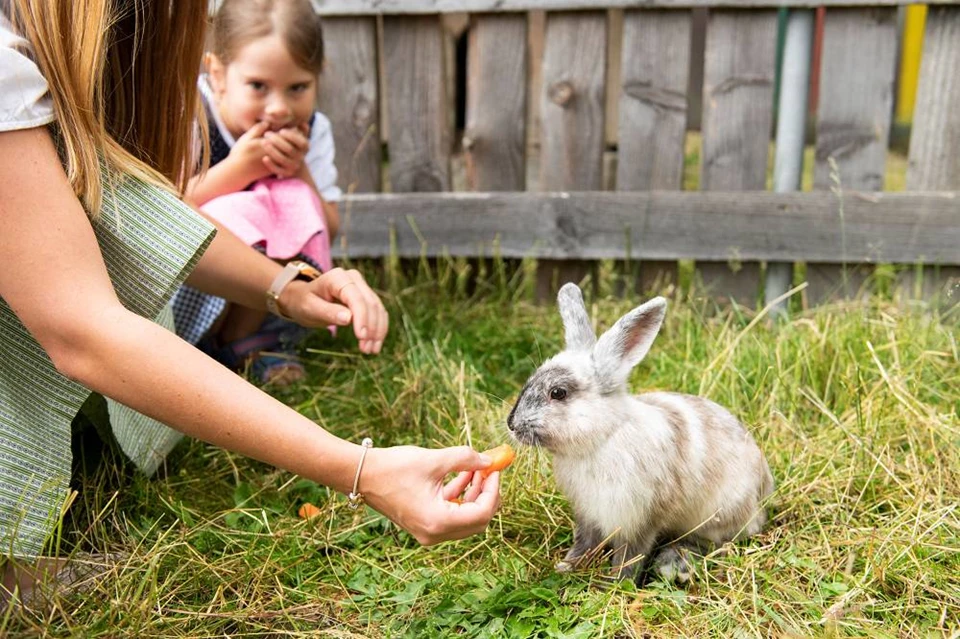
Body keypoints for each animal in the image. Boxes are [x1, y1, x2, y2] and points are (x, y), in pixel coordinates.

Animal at [506, 284, 776, 584]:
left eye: (558, 393)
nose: (511, 424)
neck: (603, 438)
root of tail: (764, 494)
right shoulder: (588, 514)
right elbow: (585, 543)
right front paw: (567, 566)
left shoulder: (640, 519)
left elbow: (630, 554)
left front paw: (615, 584)